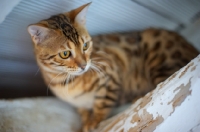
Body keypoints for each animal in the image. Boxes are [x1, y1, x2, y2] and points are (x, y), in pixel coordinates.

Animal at [27, 2, 199, 132]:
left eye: (85, 45)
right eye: (65, 54)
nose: (84, 65)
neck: (66, 83)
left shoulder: (111, 71)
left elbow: (102, 103)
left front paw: (94, 121)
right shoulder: (79, 104)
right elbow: (83, 111)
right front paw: (85, 121)